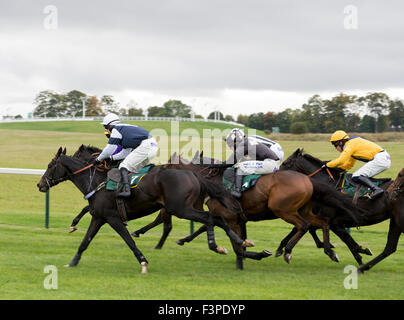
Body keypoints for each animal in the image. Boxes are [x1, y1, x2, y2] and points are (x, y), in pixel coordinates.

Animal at [38, 146, 252, 274]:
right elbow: (85, 241)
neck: (98, 179)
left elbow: (128, 240)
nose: (40, 185)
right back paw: (240, 242)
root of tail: (194, 174)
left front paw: (143, 262)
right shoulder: (99, 217)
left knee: (208, 218)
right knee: (217, 219)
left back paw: (216, 246)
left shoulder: (112, 217)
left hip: (180, 208)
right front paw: (72, 262)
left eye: (50, 165)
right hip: (187, 206)